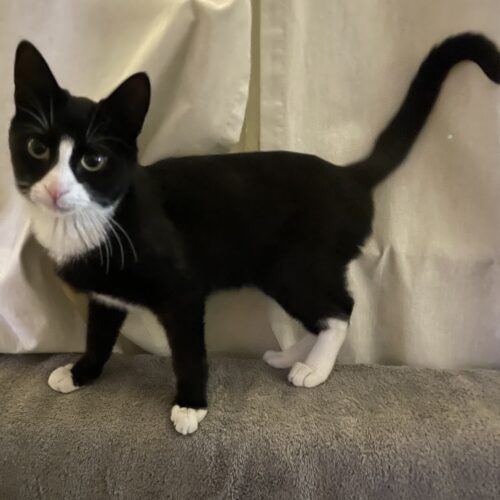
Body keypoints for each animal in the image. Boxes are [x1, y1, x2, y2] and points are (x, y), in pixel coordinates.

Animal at [9, 34, 500, 434]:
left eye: (93, 161)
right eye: (37, 148)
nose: (54, 189)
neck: (95, 221)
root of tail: (347, 176)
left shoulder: (182, 293)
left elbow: (189, 351)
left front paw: (191, 405)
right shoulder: (106, 296)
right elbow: (98, 335)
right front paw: (80, 373)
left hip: (296, 268)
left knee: (341, 309)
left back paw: (314, 369)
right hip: (282, 272)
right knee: (323, 312)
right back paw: (291, 355)